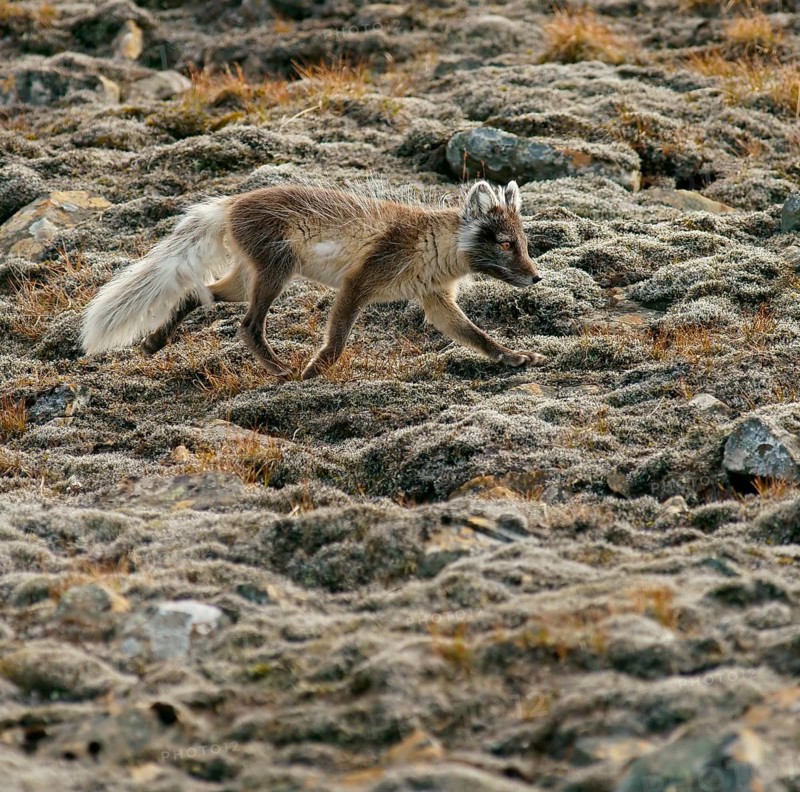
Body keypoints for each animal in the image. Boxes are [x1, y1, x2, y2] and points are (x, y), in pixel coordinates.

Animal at [81, 180, 545, 380]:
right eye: (506, 244)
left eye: (524, 243)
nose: (537, 277)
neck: (436, 246)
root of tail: (230, 202)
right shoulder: (359, 282)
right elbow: (337, 340)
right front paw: (314, 371)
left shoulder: (436, 301)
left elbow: (477, 336)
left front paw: (513, 357)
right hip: (276, 271)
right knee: (247, 326)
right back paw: (282, 370)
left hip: (244, 279)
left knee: (199, 296)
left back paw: (154, 342)